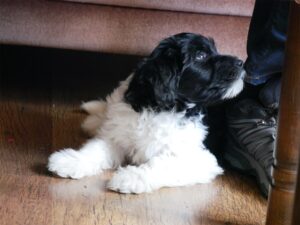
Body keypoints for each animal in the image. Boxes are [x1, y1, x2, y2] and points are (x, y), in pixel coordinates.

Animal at [48, 33, 245, 193]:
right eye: (201, 55)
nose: (241, 62)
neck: (162, 108)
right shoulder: (117, 138)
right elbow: (96, 149)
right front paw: (70, 161)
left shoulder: (200, 159)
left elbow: (162, 165)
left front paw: (129, 178)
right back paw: (93, 122)